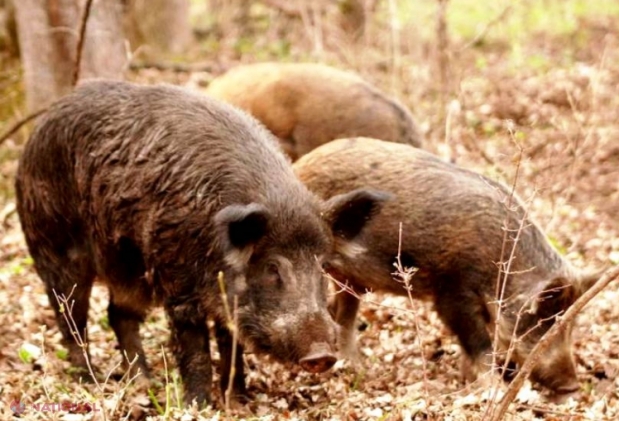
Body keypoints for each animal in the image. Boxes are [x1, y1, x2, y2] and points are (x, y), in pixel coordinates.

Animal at [15, 81, 388, 406]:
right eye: (272, 267)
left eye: (322, 265)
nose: (322, 355)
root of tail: (36, 133)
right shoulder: (178, 285)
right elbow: (195, 348)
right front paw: (199, 404)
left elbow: (231, 345)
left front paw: (238, 400)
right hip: (55, 250)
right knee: (71, 319)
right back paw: (90, 380)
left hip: (130, 272)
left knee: (117, 314)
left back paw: (145, 382)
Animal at [293, 137, 603, 395]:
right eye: (545, 323)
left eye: (572, 325)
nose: (573, 386)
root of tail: (301, 165)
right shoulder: (453, 292)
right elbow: (479, 345)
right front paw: (492, 390)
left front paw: (469, 384)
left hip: (351, 279)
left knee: (343, 314)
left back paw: (354, 366)